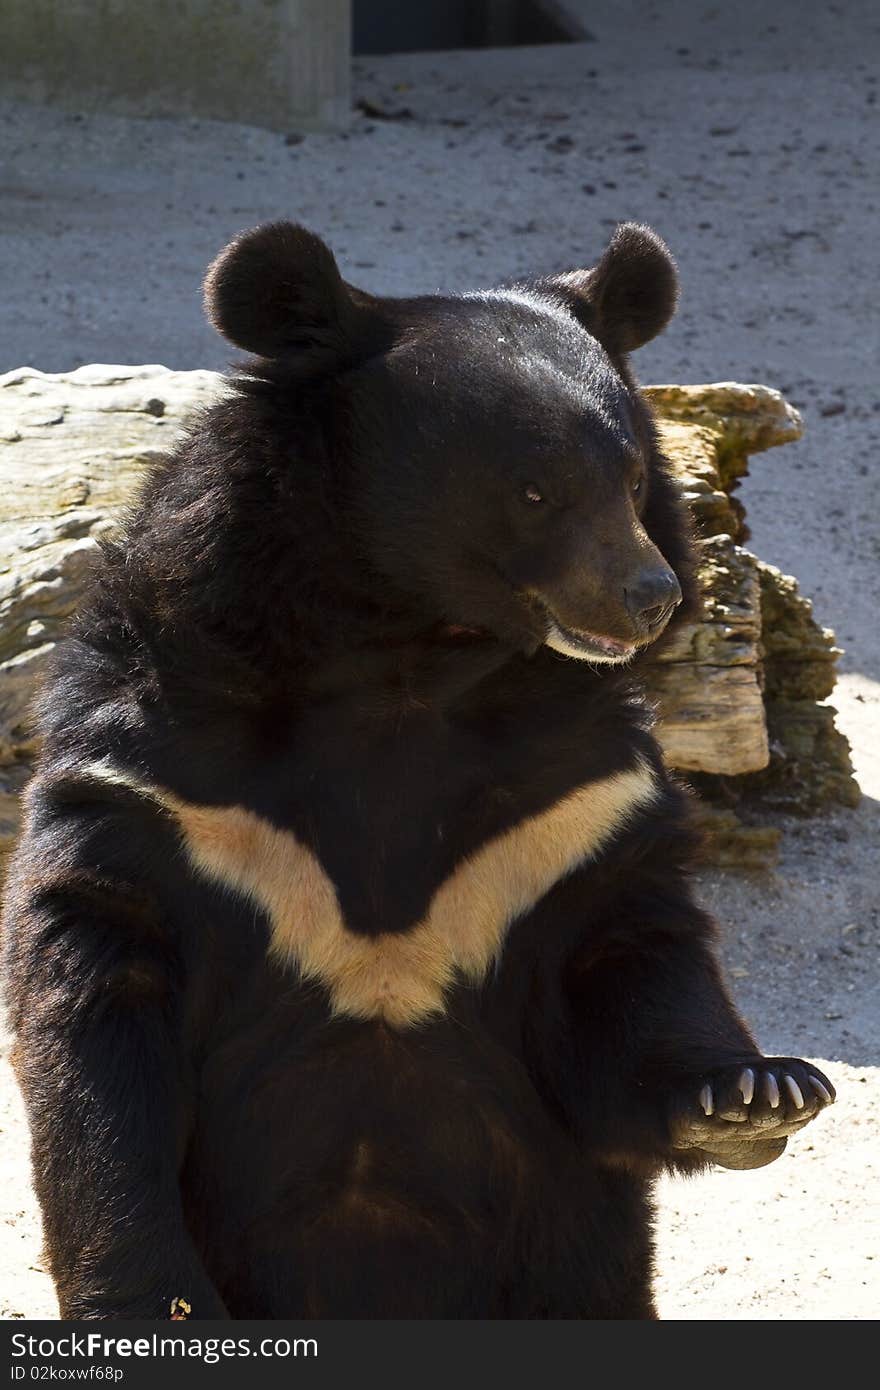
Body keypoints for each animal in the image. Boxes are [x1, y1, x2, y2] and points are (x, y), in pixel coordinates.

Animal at [3, 222, 834, 1317]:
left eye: (627, 478)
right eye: (533, 489)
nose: (649, 597)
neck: (405, 655)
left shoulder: (574, 808)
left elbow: (628, 956)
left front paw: (759, 1093)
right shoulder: (162, 789)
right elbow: (98, 1023)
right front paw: (150, 1300)